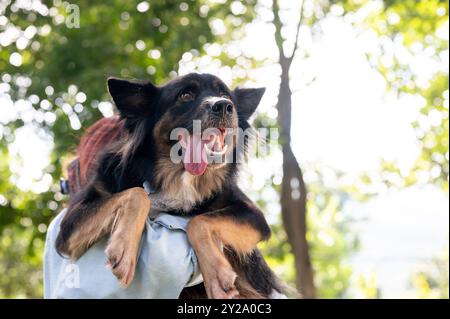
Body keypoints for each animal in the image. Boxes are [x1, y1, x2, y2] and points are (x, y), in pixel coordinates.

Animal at [54, 73, 284, 300]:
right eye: (185, 95)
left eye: (225, 95)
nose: (224, 106)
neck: (179, 178)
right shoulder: (69, 226)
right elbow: (138, 193)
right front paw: (124, 248)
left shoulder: (253, 215)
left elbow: (199, 221)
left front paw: (217, 272)